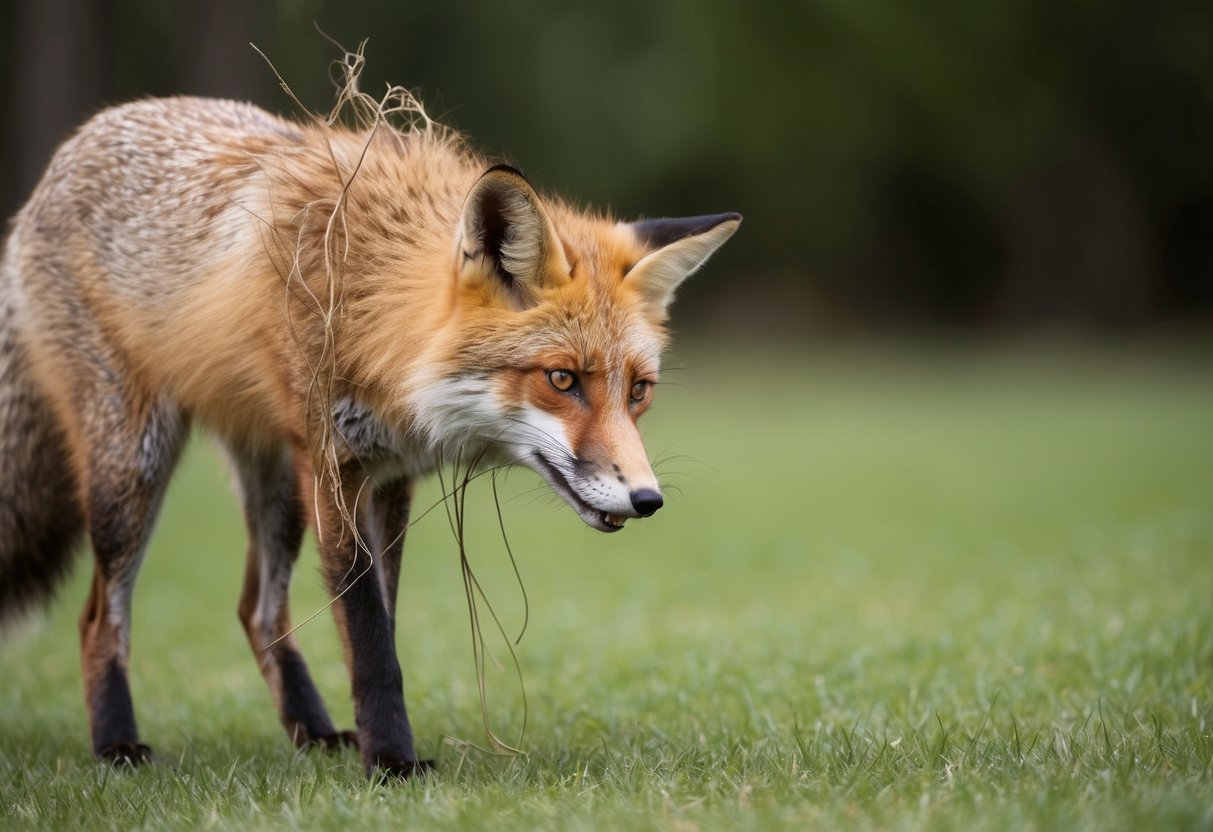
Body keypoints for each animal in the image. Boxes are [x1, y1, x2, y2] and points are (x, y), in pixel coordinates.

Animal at [0, 81, 739, 779]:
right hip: (135, 464)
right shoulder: (336, 467)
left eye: (637, 391)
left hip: (275, 481)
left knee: (257, 610)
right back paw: (116, 745)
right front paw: (392, 764)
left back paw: (313, 732)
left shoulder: (389, 480)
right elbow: (369, 636)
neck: (370, 303)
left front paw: (376, 744)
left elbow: (379, 623)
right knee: (99, 616)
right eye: (561, 379)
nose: (647, 499)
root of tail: (73, 147)